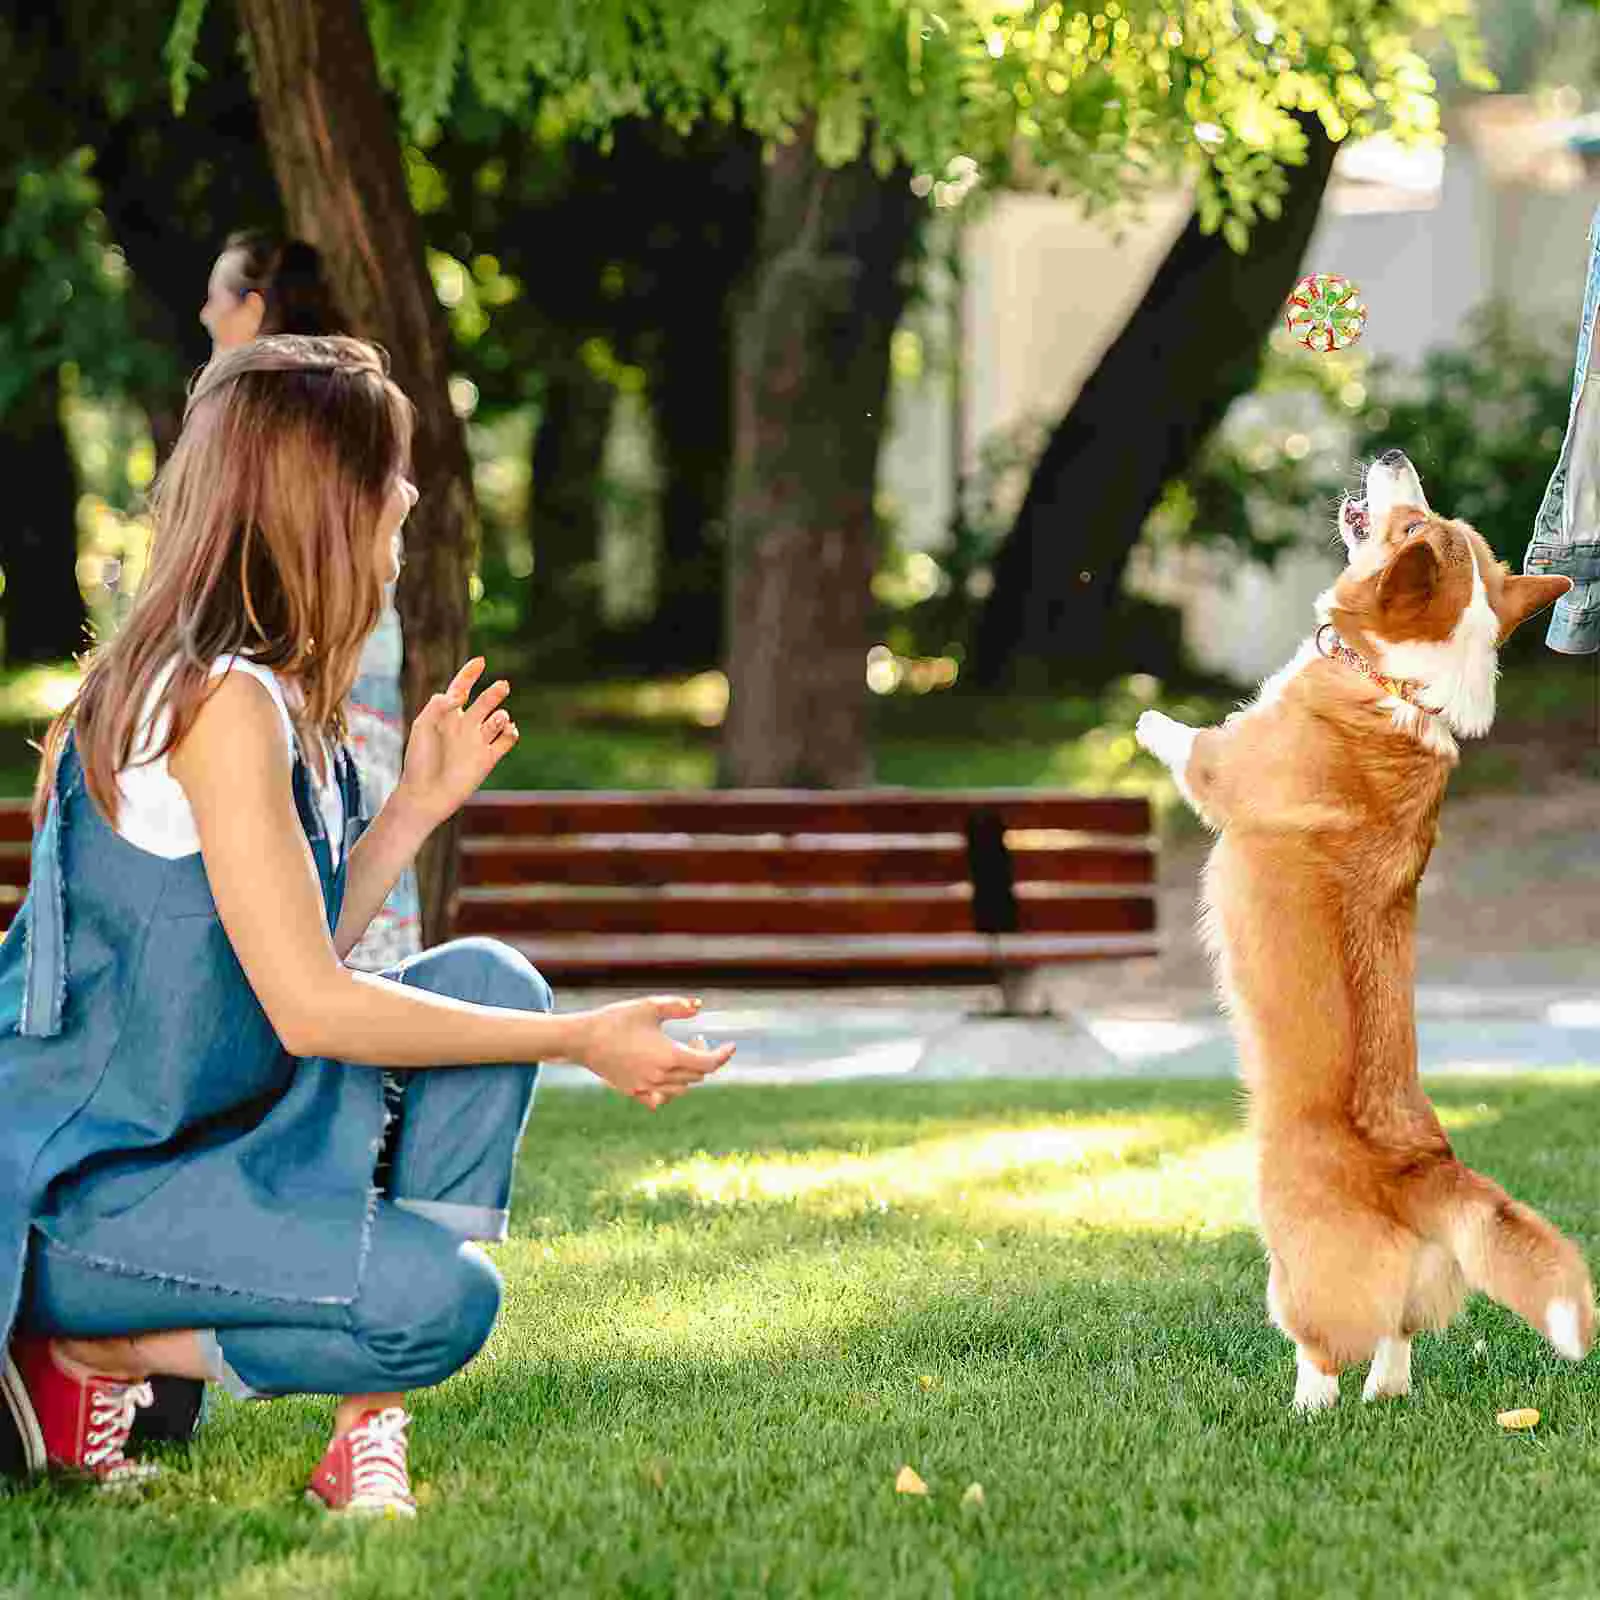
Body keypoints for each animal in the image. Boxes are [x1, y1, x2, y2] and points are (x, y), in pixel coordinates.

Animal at [1132, 451, 1593, 1414]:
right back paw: (1387, 1395)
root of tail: (1424, 1169)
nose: (1393, 457)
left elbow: (1194, 746)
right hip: (1417, 1285)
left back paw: (1307, 1408)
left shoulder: (1224, 770)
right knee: (1400, 1336)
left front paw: (1148, 718)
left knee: (1325, 1346)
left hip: (1291, 1269)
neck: (1396, 686)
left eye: (1410, 523)